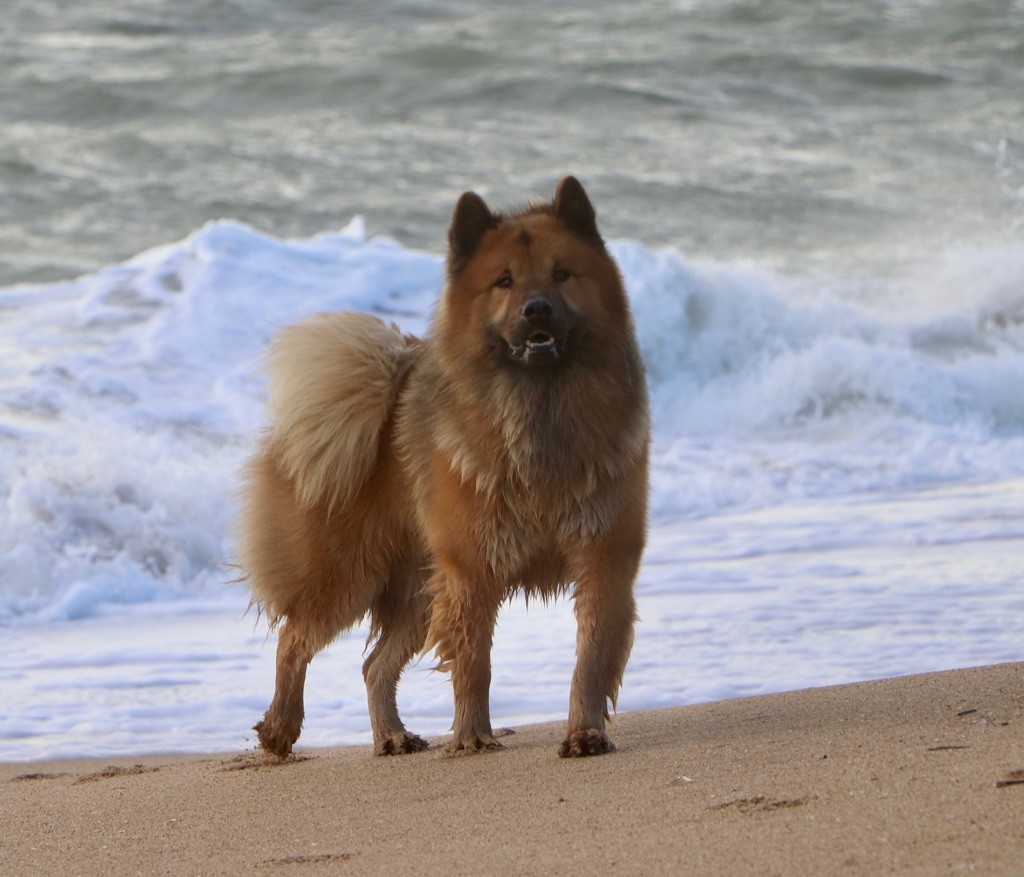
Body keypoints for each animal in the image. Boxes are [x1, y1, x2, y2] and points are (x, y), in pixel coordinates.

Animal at [237, 175, 647, 758]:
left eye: (562, 273)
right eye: (504, 282)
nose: (537, 309)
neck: (539, 411)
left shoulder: (603, 557)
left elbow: (590, 658)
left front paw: (585, 733)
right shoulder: (472, 568)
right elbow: (475, 663)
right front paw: (472, 735)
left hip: (416, 589)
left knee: (373, 664)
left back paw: (391, 735)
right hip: (348, 575)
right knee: (294, 640)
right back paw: (279, 729)